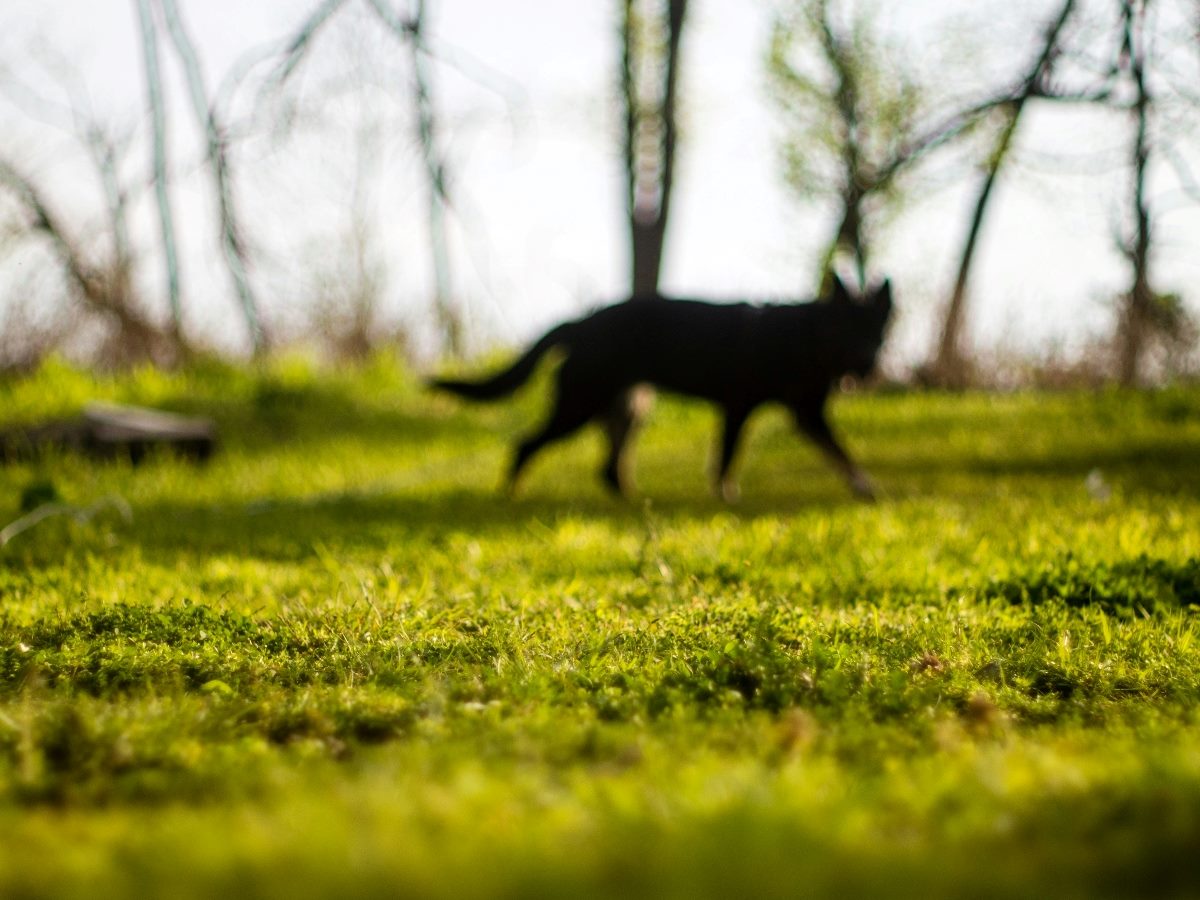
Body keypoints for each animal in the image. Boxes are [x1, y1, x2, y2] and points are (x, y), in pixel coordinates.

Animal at [429, 275, 892, 501]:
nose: (868, 364)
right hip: (580, 405)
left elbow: (842, 452)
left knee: (609, 469)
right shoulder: (739, 407)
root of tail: (580, 323)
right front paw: (726, 496)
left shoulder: (807, 414)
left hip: (628, 408)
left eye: (876, 332)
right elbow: (727, 459)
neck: (804, 337)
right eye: (847, 329)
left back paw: (633, 501)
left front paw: (865, 487)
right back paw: (511, 494)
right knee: (525, 445)